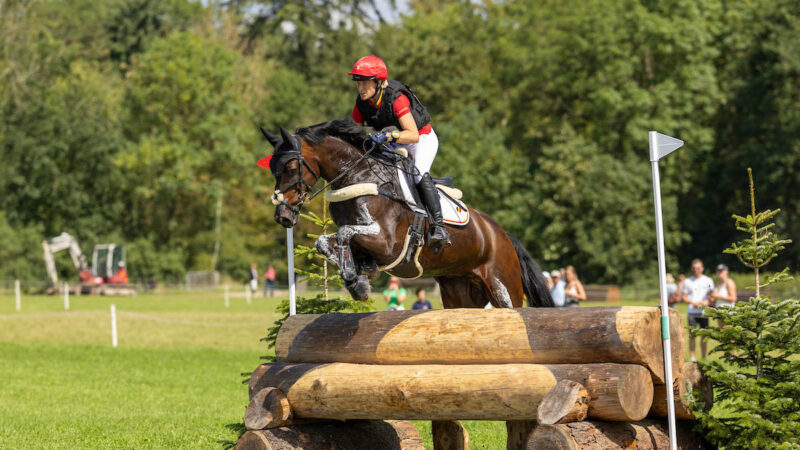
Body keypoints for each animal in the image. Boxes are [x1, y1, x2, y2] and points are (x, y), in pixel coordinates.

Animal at [260, 119, 552, 310]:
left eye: (291, 167)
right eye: (273, 168)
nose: (283, 217)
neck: (360, 176)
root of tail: (502, 234)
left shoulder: (388, 243)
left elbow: (344, 234)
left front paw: (356, 280)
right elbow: (324, 241)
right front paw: (359, 278)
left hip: (504, 288)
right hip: (460, 292)